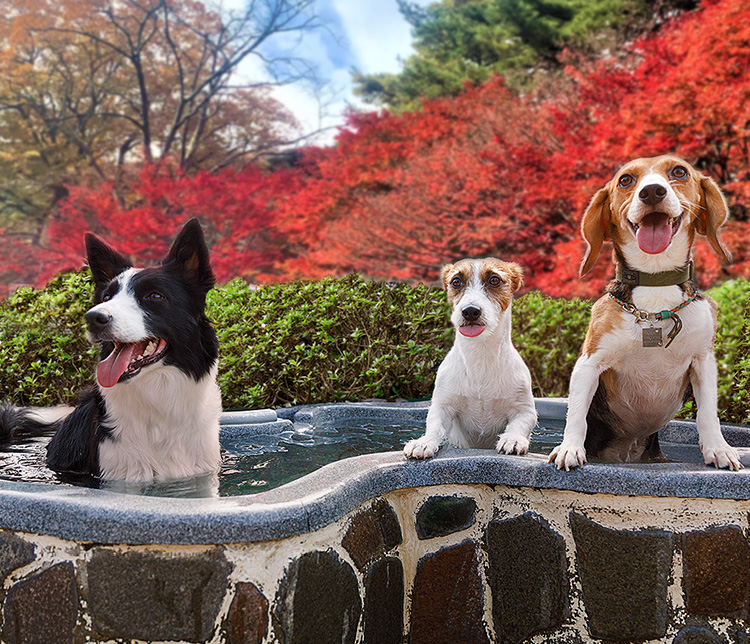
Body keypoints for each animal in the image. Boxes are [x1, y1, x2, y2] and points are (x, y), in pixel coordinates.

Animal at [406, 260, 540, 460]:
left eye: (494, 280)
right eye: (456, 281)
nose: (470, 311)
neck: (480, 354)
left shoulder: (524, 410)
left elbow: (518, 425)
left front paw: (513, 439)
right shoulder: (442, 406)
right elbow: (435, 427)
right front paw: (424, 442)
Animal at [548, 153, 744, 470]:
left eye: (679, 171)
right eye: (626, 179)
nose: (652, 191)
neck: (656, 282)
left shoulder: (703, 361)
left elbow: (707, 414)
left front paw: (719, 449)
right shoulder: (590, 362)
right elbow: (576, 413)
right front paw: (569, 449)